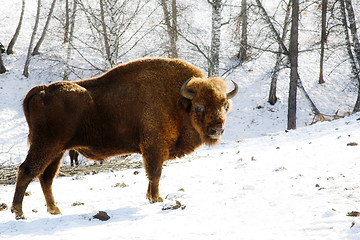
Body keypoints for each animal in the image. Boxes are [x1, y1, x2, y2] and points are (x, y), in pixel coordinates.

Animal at [11, 58, 238, 219]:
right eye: (198, 106)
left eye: (224, 105)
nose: (217, 130)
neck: (178, 100)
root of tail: (41, 90)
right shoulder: (154, 147)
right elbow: (155, 173)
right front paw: (156, 199)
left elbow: (151, 175)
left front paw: (150, 197)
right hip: (45, 146)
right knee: (27, 170)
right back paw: (18, 212)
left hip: (57, 150)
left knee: (46, 177)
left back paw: (54, 210)